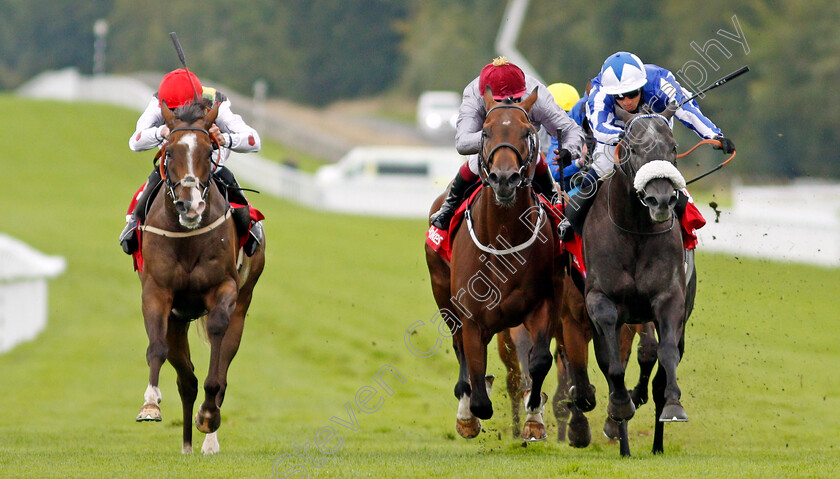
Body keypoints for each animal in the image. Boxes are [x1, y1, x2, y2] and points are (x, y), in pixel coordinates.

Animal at [133, 100, 264, 454]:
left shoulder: (224, 287)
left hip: (243, 303)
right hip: (178, 320)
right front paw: (150, 404)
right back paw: (187, 444)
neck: (187, 236)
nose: (189, 205)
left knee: (218, 369)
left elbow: (217, 347)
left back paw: (207, 437)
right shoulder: (157, 291)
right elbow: (156, 347)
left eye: (209, 151)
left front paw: (208, 415)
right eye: (169, 152)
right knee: (186, 379)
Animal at [424, 87, 560, 442]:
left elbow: (539, 361)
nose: (504, 178)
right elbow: (476, 381)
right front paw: (470, 412)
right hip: (443, 295)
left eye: (526, 132)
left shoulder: (541, 306)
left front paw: (534, 416)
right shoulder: (471, 317)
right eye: (486, 132)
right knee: (459, 347)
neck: (503, 239)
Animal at [584, 105, 696, 458]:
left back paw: (657, 442)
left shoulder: (669, 298)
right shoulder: (599, 299)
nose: (661, 200)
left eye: (673, 147)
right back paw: (623, 438)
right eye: (633, 149)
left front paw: (673, 405)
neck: (634, 229)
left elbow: (666, 354)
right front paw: (621, 406)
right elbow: (614, 366)